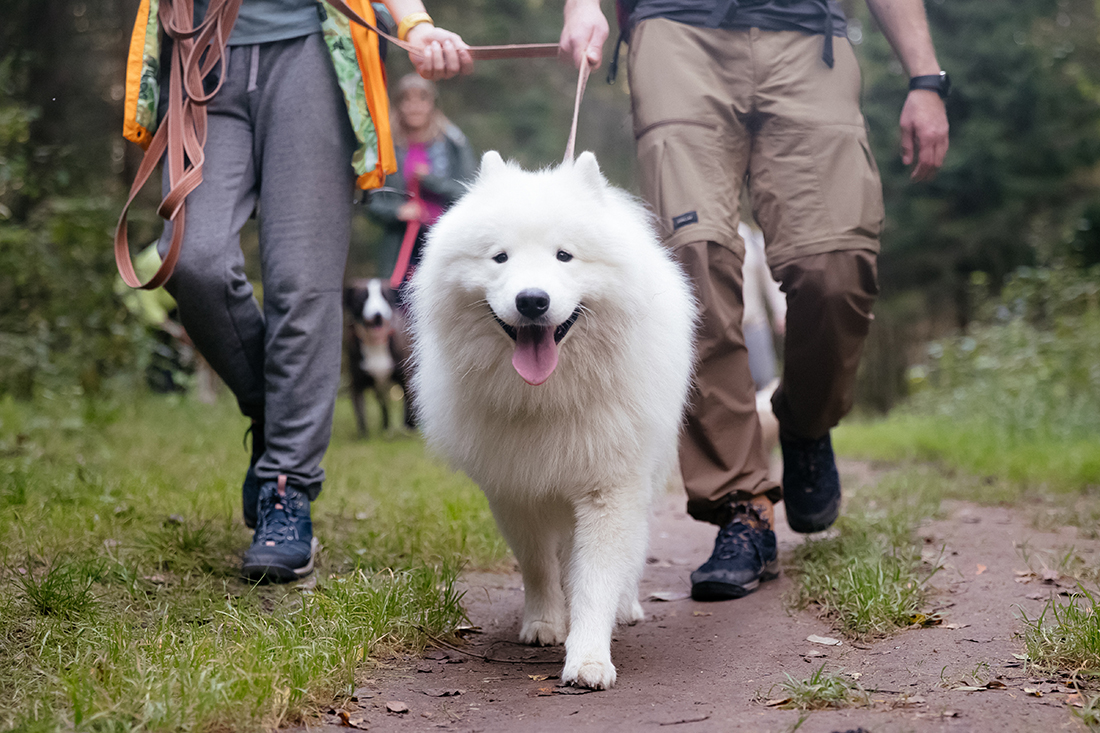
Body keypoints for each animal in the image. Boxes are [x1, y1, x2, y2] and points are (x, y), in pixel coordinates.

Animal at [343, 274, 413, 433]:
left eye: (385, 297)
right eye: (362, 298)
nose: (377, 315)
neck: (375, 343)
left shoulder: (406, 379)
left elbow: (408, 409)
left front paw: (408, 429)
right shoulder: (357, 384)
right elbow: (361, 415)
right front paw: (364, 435)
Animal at [409, 150, 690, 686]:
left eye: (565, 256)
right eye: (500, 258)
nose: (532, 300)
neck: (548, 396)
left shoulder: (610, 488)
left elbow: (597, 578)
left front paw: (589, 658)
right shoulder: (516, 489)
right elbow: (538, 566)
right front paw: (544, 622)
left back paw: (626, 607)